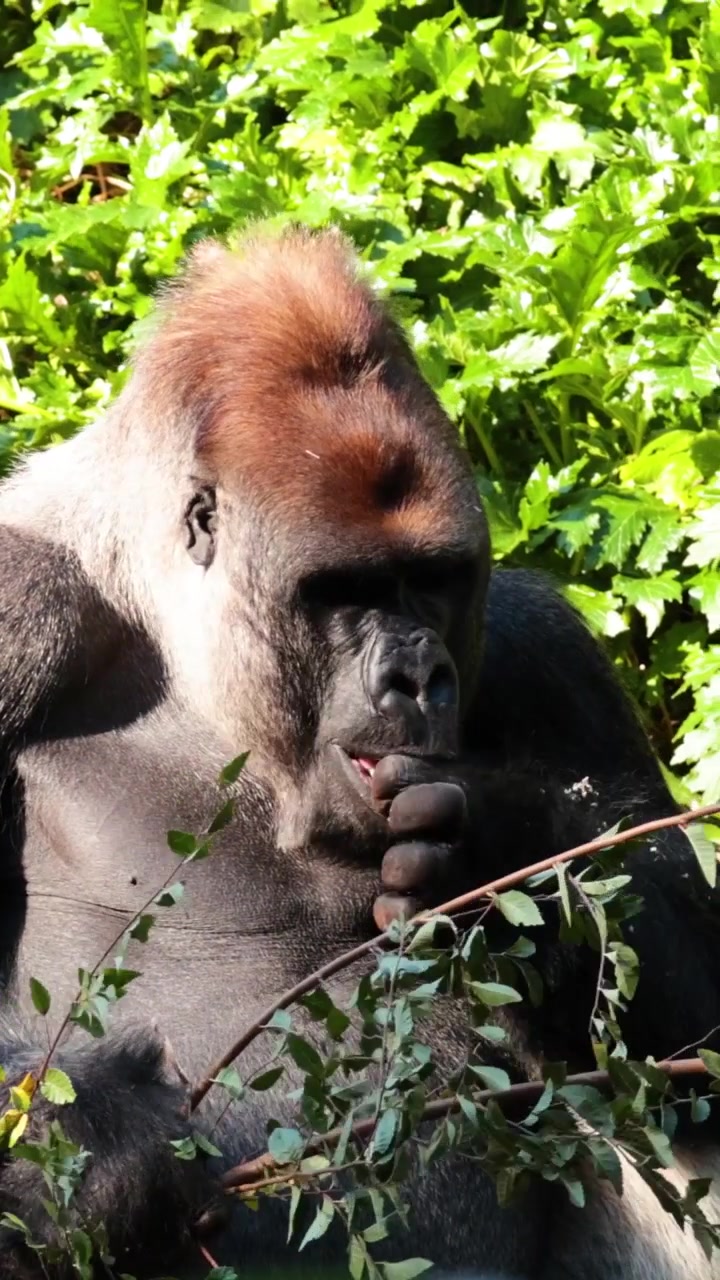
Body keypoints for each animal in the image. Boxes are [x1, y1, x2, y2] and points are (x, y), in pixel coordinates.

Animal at [0, 224, 719, 1280]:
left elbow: (695, 1025)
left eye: (431, 580)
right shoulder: (23, 609)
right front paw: (105, 1147)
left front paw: (505, 858)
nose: (418, 677)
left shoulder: (545, 648)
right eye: (341, 591)